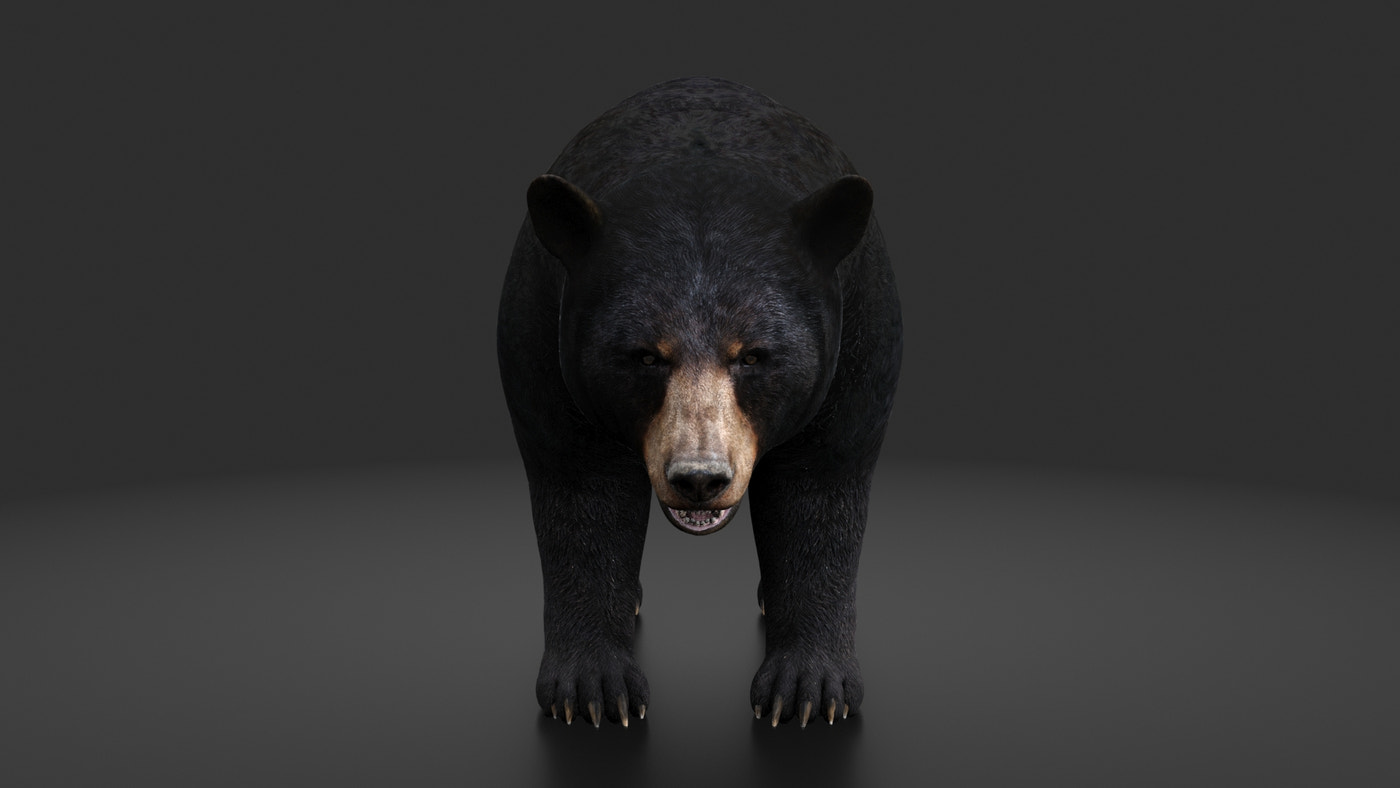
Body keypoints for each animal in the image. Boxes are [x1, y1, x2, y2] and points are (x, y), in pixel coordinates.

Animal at [496, 76, 902, 728]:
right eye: (644, 356)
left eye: (754, 355)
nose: (699, 479)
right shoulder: (541, 335)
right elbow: (580, 493)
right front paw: (592, 691)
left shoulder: (859, 337)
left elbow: (822, 491)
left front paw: (809, 690)